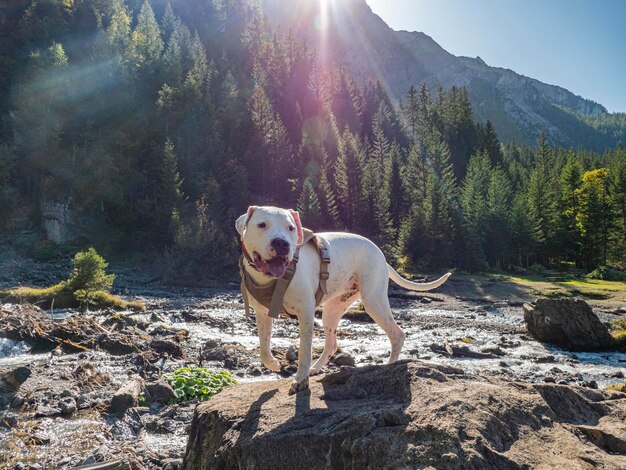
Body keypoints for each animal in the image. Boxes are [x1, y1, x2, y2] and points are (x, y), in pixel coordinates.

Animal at [235, 206, 448, 392]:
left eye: (291, 228)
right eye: (262, 225)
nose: (281, 243)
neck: (272, 279)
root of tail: (382, 256)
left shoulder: (305, 314)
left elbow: (304, 351)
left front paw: (300, 381)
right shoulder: (262, 313)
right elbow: (264, 348)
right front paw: (274, 363)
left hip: (374, 301)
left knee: (397, 334)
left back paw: (389, 365)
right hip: (333, 310)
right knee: (332, 344)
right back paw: (316, 368)